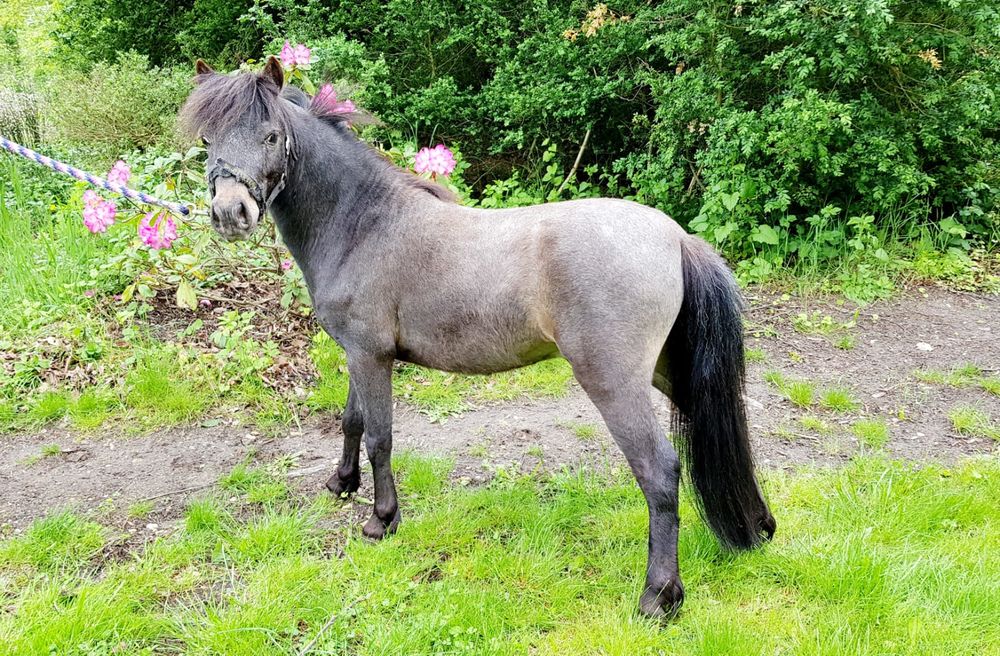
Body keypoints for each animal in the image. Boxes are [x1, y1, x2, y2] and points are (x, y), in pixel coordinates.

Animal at [180, 57, 776, 619]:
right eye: (206, 140)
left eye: (270, 135)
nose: (230, 213)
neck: (363, 224)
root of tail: (676, 236)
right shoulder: (356, 354)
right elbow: (352, 422)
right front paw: (340, 484)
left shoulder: (371, 357)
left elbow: (380, 437)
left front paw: (381, 521)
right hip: (670, 370)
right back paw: (757, 526)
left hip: (615, 384)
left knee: (660, 473)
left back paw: (659, 596)